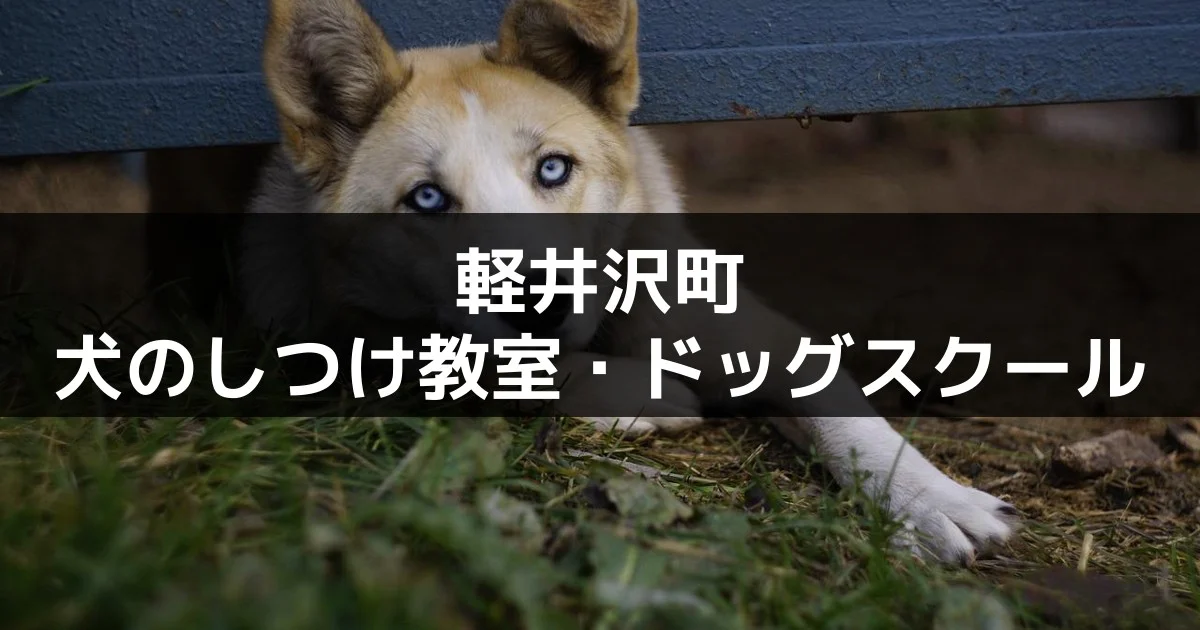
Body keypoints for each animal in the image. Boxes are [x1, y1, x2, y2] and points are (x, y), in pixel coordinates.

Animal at [146, 0, 1019, 565]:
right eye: (426, 199)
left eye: (553, 169)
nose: (542, 301)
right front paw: (649, 398)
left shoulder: (740, 322)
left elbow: (843, 411)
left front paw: (934, 500)